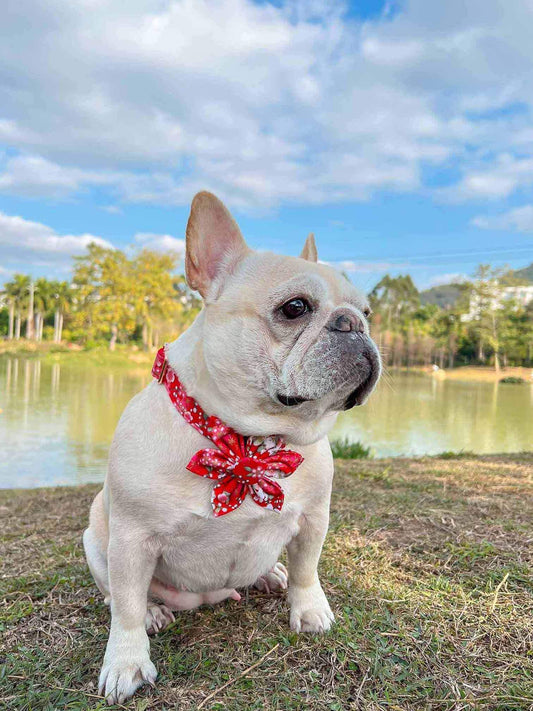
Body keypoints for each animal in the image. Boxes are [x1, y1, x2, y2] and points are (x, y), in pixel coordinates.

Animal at [83, 191, 380, 708]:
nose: (353, 324)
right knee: (116, 595)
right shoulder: (131, 540)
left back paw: (270, 574)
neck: (249, 440)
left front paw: (308, 609)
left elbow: (308, 569)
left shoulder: (315, 518)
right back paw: (155, 610)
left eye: (367, 311)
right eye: (295, 307)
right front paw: (125, 661)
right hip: (95, 538)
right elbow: (125, 608)